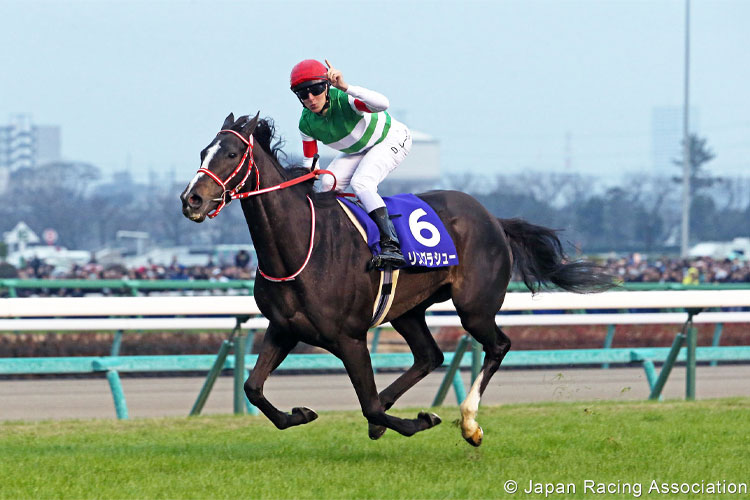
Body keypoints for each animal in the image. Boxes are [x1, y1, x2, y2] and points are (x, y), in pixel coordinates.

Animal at [182, 113, 616, 446]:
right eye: (203, 152)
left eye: (232, 153)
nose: (192, 199)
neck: (301, 243)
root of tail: (493, 217)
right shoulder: (284, 327)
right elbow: (253, 388)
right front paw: (300, 413)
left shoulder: (350, 337)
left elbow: (369, 404)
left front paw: (420, 420)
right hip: (408, 310)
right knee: (430, 355)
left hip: (474, 307)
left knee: (498, 346)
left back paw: (469, 424)